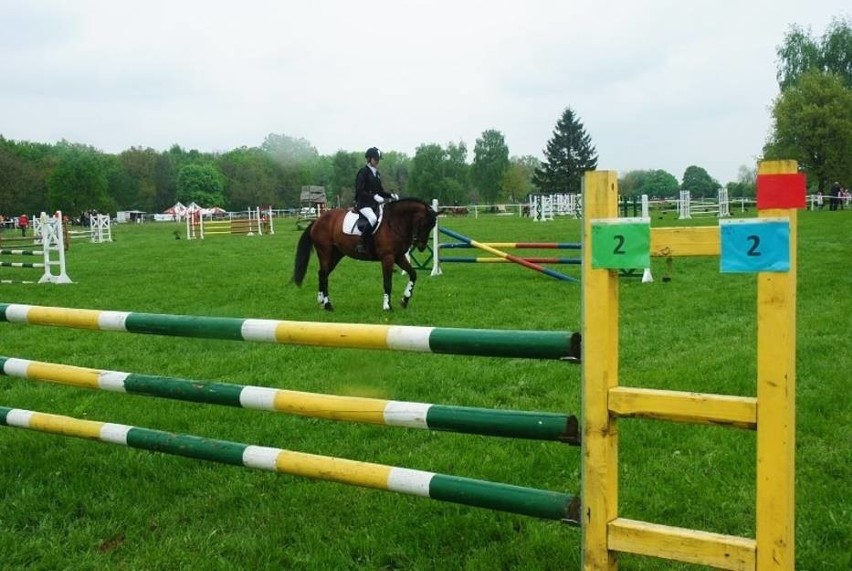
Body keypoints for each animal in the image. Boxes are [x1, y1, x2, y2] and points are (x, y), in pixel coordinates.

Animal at [292, 198, 440, 312]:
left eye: (432, 226)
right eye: (424, 223)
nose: (421, 246)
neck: (394, 223)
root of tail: (317, 221)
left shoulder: (398, 257)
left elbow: (413, 274)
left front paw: (405, 299)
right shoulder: (387, 258)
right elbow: (387, 282)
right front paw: (387, 306)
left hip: (336, 254)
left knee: (323, 273)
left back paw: (321, 300)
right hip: (325, 252)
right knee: (323, 275)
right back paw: (328, 305)